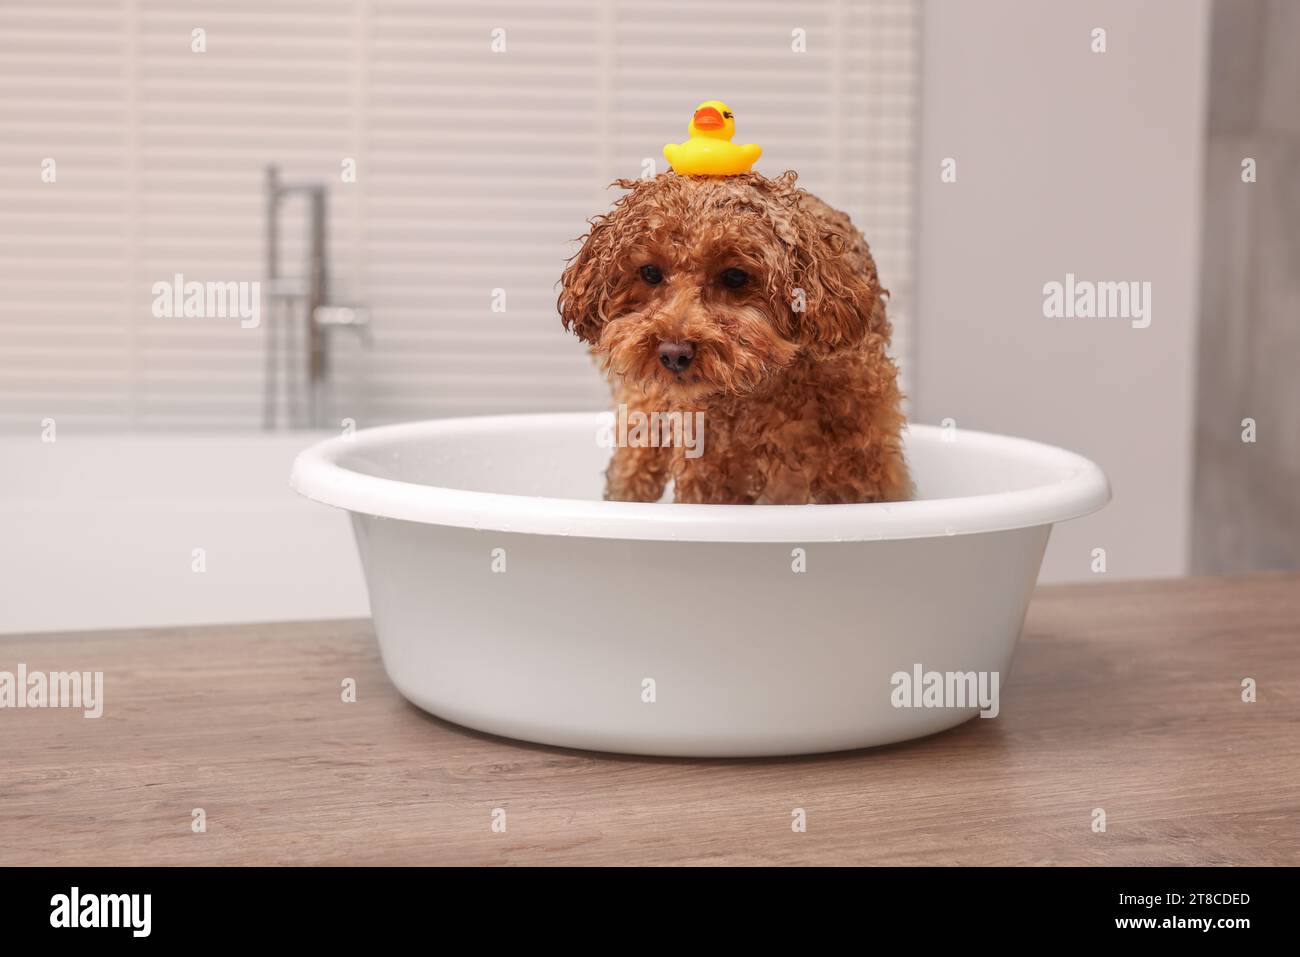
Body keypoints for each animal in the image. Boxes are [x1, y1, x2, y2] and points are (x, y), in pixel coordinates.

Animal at [559, 167, 915, 504]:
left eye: (734, 277)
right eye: (649, 272)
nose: (674, 354)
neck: (769, 384)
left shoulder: (860, 467)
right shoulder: (710, 469)